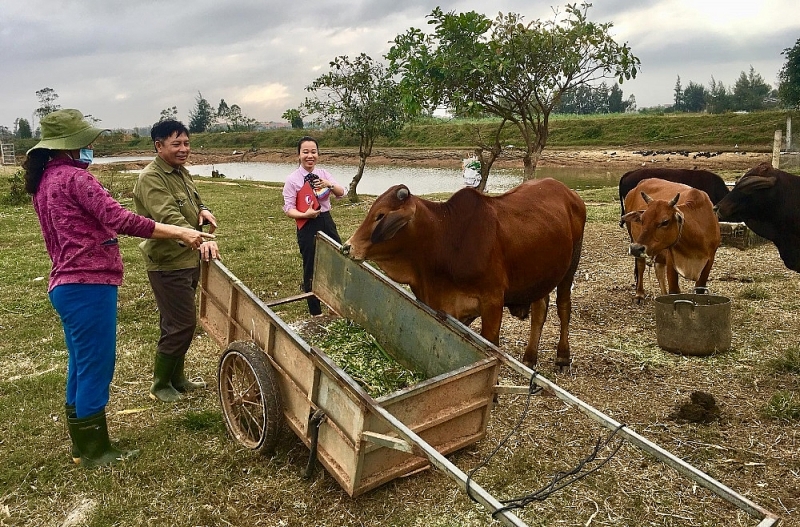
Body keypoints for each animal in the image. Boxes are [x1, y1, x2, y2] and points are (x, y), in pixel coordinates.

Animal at [340, 179, 584, 370]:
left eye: (380, 215)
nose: (348, 247)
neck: (445, 236)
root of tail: (568, 191)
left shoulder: (492, 300)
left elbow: (491, 344)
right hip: (540, 274)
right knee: (540, 309)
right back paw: (530, 358)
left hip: (569, 268)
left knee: (563, 308)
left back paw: (563, 357)